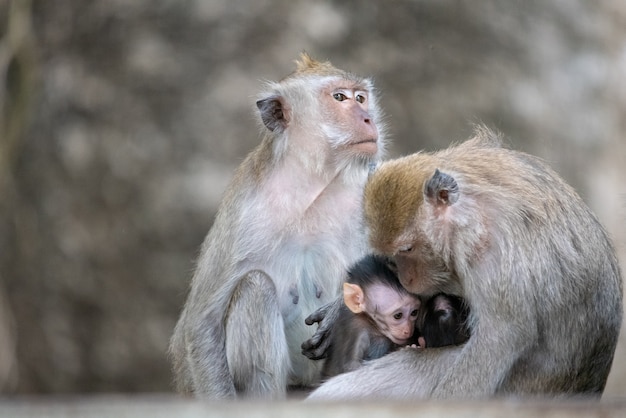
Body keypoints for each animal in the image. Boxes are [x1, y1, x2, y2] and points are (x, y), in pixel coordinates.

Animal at [168, 54, 388, 400]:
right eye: (340, 97)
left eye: (361, 97)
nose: (368, 119)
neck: (314, 184)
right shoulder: (243, 213)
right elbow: (201, 324)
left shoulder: (373, 181)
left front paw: (337, 310)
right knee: (255, 288)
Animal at [320, 255, 466, 378]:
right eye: (398, 315)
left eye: (414, 312)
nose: (408, 329)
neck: (370, 322)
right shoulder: (357, 329)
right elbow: (351, 367)